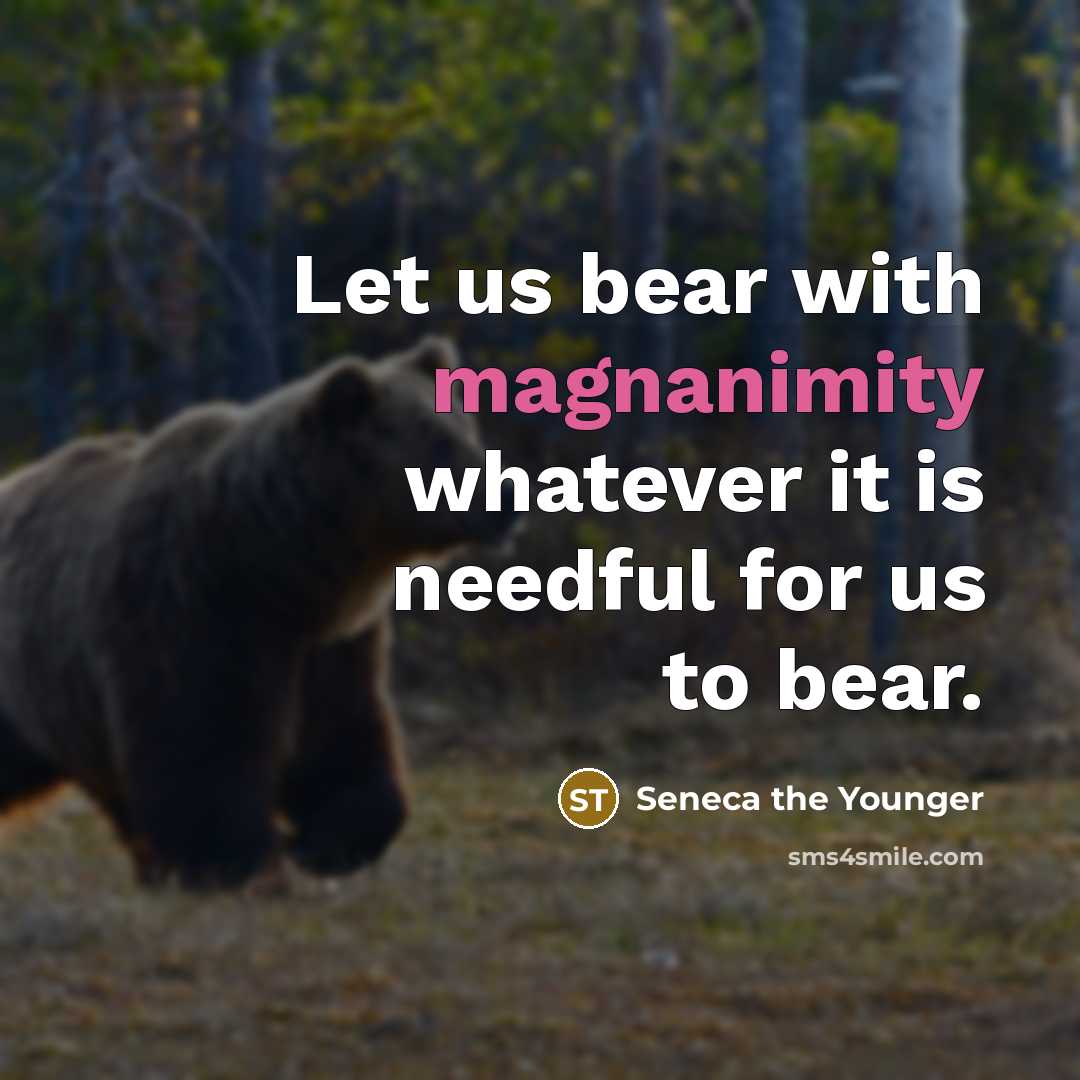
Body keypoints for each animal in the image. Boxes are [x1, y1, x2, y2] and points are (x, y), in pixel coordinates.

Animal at [0, 337, 515, 889]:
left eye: (467, 428)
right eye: (438, 442)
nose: (510, 497)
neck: (271, 564)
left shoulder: (327, 643)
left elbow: (342, 740)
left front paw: (322, 843)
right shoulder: (186, 606)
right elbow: (201, 744)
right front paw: (234, 859)